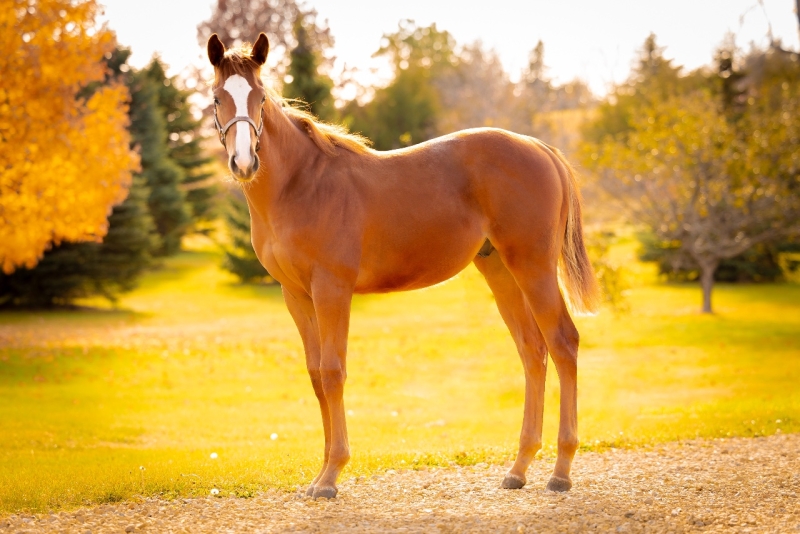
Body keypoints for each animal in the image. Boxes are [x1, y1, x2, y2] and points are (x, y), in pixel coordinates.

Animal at [208, 34, 600, 502]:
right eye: (217, 97)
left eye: (261, 97)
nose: (244, 162)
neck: (302, 184)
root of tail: (540, 148)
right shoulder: (296, 295)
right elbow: (316, 375)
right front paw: (319, 475)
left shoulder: (331, 289)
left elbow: (334, 372)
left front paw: (331, 475)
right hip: (501, 271)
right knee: (532, 351)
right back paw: (519, 468)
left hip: (533, 266)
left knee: (563, 343)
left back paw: (561, 471)